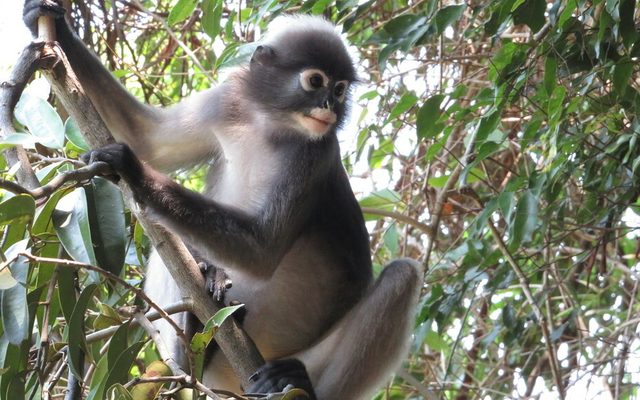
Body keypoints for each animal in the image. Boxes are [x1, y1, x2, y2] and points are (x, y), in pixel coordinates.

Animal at [23, 2, 422, 398]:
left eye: (339, 89)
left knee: (403, 275)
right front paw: (52, 24)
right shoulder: (226, 102)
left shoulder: (316, 155)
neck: (269, 124)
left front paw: (133, 171)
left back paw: (295, 380)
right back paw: (194, 331)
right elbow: (148, 140)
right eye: (315, 82)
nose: (330, 105)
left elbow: (262, 251)